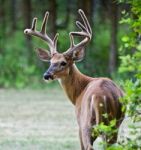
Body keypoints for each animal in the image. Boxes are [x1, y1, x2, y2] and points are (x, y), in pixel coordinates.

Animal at [24, 9, 123, 150]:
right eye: (50, 61)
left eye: (63, 63)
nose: (46, 75)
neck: (78, 93)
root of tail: (100, 97)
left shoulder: (79, 124)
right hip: (113, 126)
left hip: (87, 123)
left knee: (89, 146)